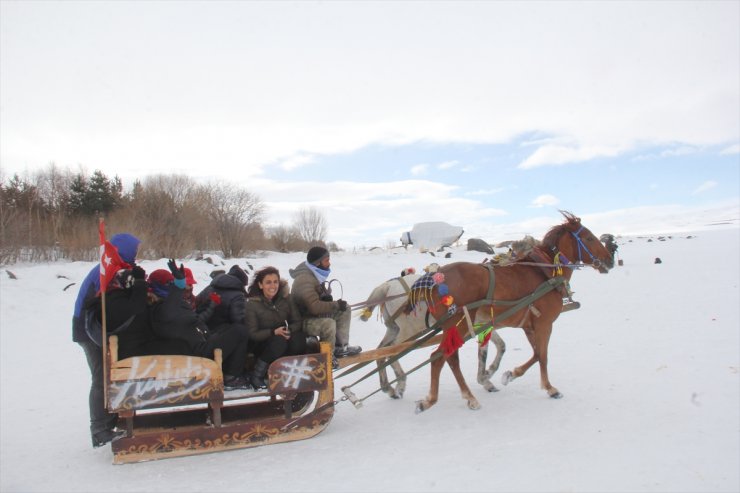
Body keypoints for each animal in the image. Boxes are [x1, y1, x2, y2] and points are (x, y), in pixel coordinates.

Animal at [360, 270, 508, 398]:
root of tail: (387, 286)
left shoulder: (483, 325)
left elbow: (497, 347)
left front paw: (486, 378)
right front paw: (487, 377)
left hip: (394, 329)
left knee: (380, 352)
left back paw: (388, 388)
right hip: (409, 331)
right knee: (392, 352)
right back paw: (400, 383)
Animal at [410, 210, 612, 412]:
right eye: (589, 238)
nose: (609, 259)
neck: (545, 273)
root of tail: (433, 279)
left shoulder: (530, 326)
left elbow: (536, 354)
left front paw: (509, 374)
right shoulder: (544, 324)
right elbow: (543, 356)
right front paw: (550, 388)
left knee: (447, 358)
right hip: (458, 325)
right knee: (440, 357)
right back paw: (445, 399)